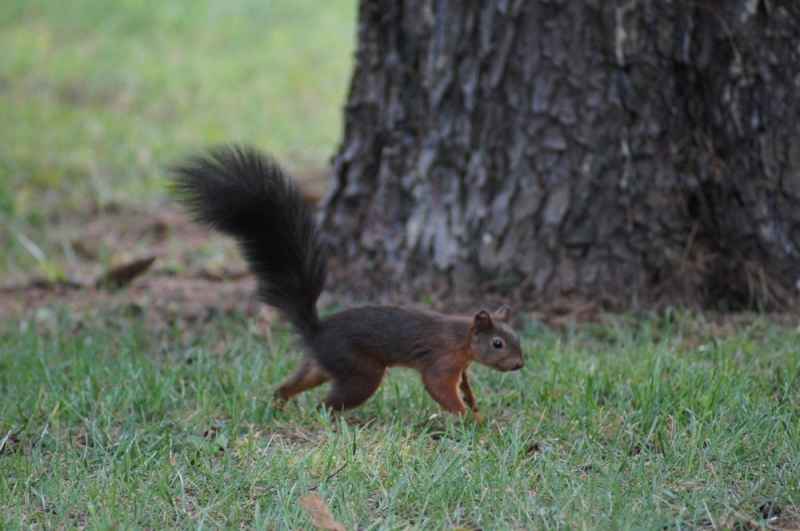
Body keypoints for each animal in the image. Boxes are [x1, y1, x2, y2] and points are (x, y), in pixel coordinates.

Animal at [172, 147, 524, 420]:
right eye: (497, 343)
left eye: (517, 338)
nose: (520, 365)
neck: (462, 338)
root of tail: (315, 331)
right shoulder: (442, 359)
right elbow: (439, 387)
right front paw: (471, 421)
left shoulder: (460, 367)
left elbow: (465, 387)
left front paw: (476, 409)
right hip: (359, 370)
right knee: (325, 404)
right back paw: (330, 418)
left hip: (319, 365)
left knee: (293, 383)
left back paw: (279, 404)